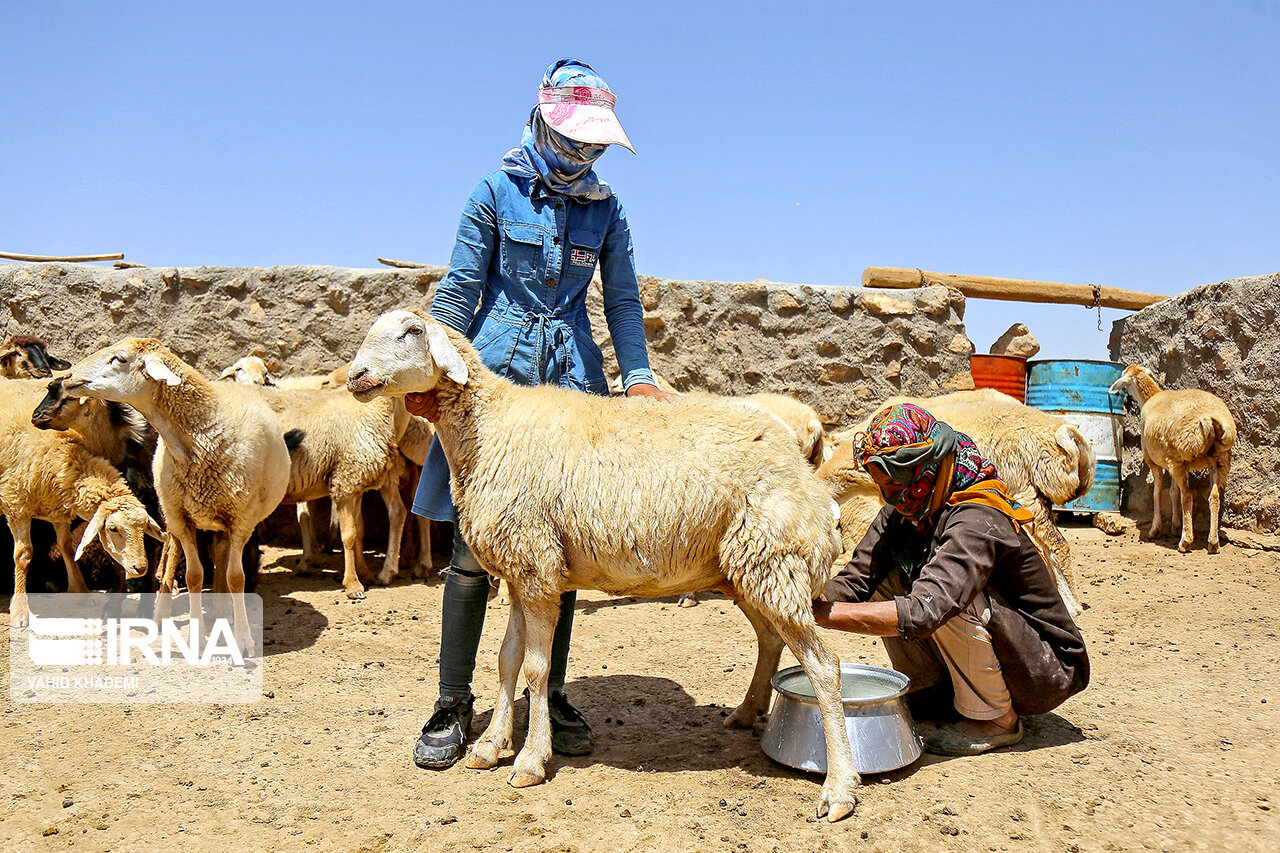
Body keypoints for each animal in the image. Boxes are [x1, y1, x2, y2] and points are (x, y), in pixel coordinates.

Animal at [0, 381, 165, 622]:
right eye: (113, 528)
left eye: (70, 396)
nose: (36, 416)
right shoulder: (18, 505)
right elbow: (24, 554)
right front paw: (20, 610)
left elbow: (67, 547)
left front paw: (81, 591)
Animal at [64, 335, 296, 648]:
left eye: (120, 358)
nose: (66, 377)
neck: (206, 433)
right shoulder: (181, 518)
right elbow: (194, 575)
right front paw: (197, 637)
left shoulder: (242, 520)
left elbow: (236, 577)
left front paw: (244, 639)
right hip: (176, 514)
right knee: (178, 554)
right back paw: (169, 611)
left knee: (223, 560)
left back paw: (225, 610)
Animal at [348, 308, 860, 819]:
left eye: (413, 331)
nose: (355, 376)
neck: (490, 427)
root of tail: (805, 470)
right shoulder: (520, 570)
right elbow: (506, 660)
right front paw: (490, 746)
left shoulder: (534, 568)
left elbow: (535, 669)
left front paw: (530, 759)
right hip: (749, 568)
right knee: (771, 640)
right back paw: (747, 712)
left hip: (775, 558)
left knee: (824, 666)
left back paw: (838, 789)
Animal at [1105, 363, 1233, 550]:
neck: (1151, 397)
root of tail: (1208, 419)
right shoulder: (1174, 462)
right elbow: (1173, 492)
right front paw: (1175, 525)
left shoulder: (1154, 461)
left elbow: (1157, 493)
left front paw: (1155, 529)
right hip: (1217, 460)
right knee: (1214, 496)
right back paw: (1213, 542)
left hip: (1184, 457)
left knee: (1188, 496)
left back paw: (1185, 541)